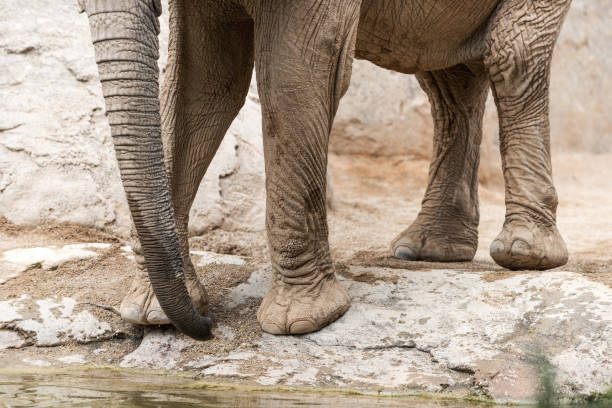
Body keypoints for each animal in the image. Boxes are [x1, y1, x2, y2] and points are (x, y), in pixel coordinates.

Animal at [79, 0, 572, 340]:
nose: (205, 326)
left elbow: (291, 79)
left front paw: (302, 322)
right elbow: (202, 84)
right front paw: (150, 314)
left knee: (512, 55)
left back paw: (525, 254)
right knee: (448, 79)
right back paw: (428, 249)